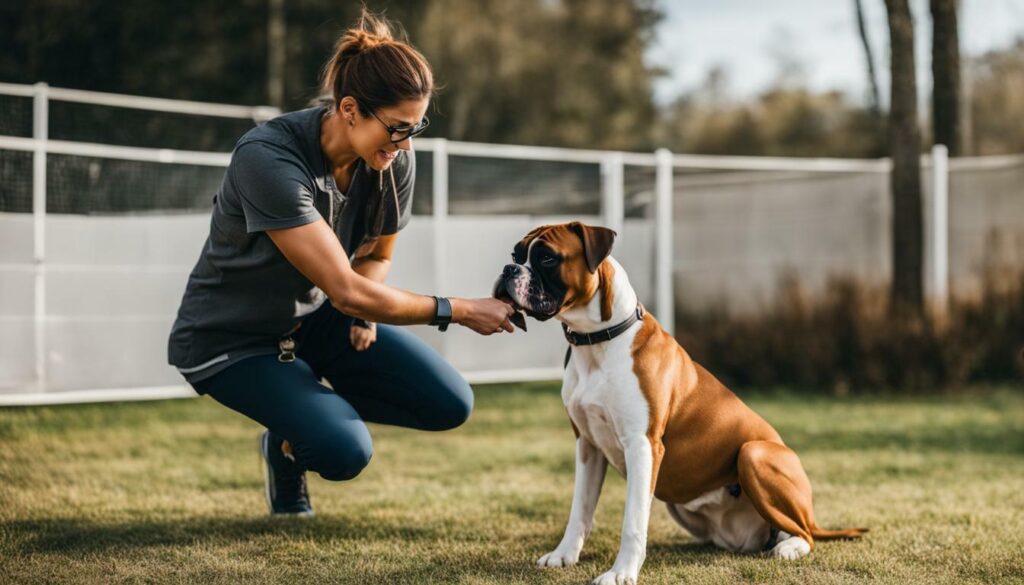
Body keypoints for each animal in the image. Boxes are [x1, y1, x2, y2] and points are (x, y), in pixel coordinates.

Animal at [491, 222, 868, 581]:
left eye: (547, 258)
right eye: (515, 253)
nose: (508, 268)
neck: (596, 342)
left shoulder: (642, 446)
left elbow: (633, 522)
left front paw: (621, 573)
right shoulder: (588, 445)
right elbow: (579, 510)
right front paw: (564, 555)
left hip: (754, 453)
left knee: (805, 533)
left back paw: (789, 547)